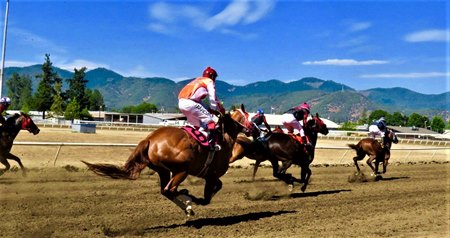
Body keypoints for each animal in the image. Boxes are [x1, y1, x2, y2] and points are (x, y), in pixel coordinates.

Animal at [81, 105, 250, 217]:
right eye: (250, 117)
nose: (252, 129)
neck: (225, 138)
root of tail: (150, 139)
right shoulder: (212, 175)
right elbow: (207, 198)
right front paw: (194, 199)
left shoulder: (210, 176)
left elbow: (217, 188)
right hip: (181, 170)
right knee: (170, 189)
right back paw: (187, 201)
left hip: (163, 170)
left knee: (165, 190)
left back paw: (187, 207)